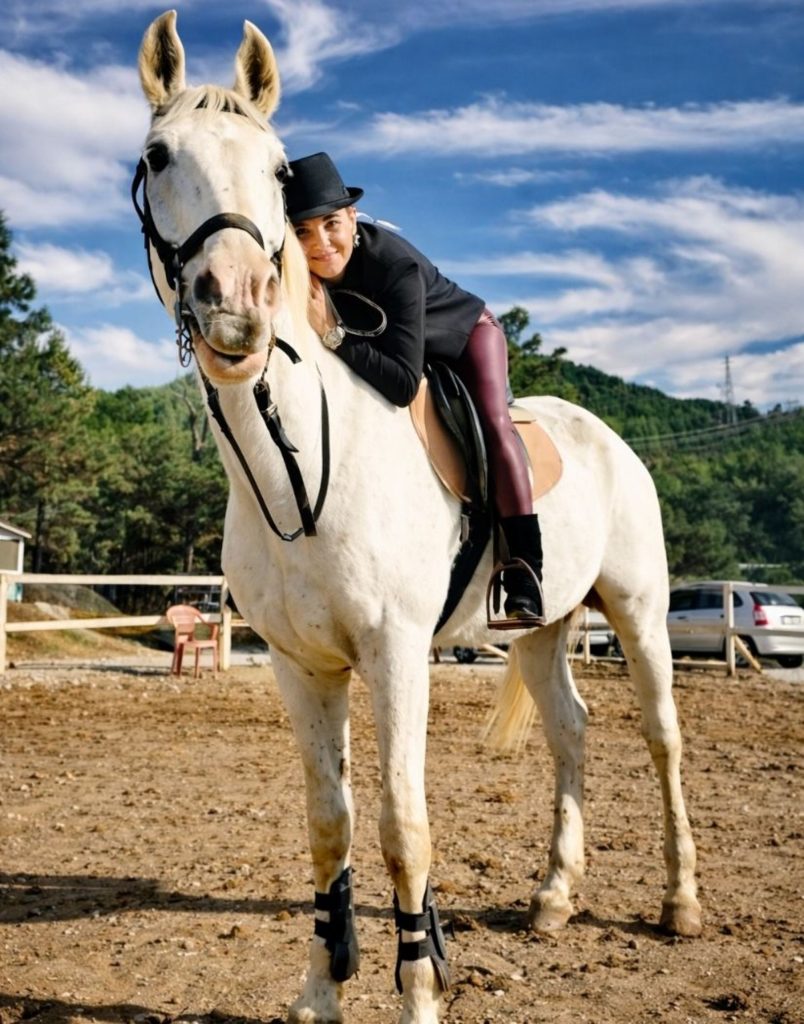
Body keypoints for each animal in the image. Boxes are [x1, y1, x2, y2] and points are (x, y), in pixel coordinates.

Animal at [135, 12, 701, 1023]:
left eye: (277, 168)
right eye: (159, 156)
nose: (235, 307)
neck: (301, 468)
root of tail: (607, 435)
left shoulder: (397, 654)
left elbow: (404, 826)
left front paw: (420, 987)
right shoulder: (300, 665)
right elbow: (330, 824)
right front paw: (321, 991)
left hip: (638, 609)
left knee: (660, 735)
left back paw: (680, 904)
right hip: (541, 626)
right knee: (571, 728)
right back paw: (554, 897)